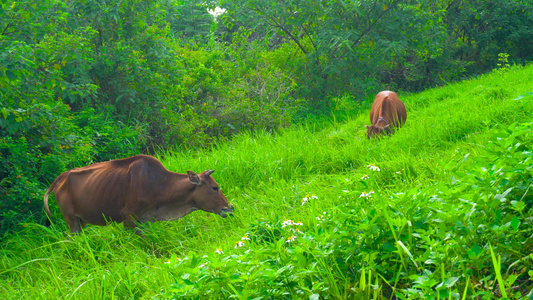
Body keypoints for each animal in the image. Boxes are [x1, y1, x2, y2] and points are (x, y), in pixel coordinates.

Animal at [42, 155, 232, 234]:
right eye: (214, 188)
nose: (230, 208)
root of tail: (62, 177)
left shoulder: (145, 220)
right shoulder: (129, 219)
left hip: (81, 222)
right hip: (71, 221)